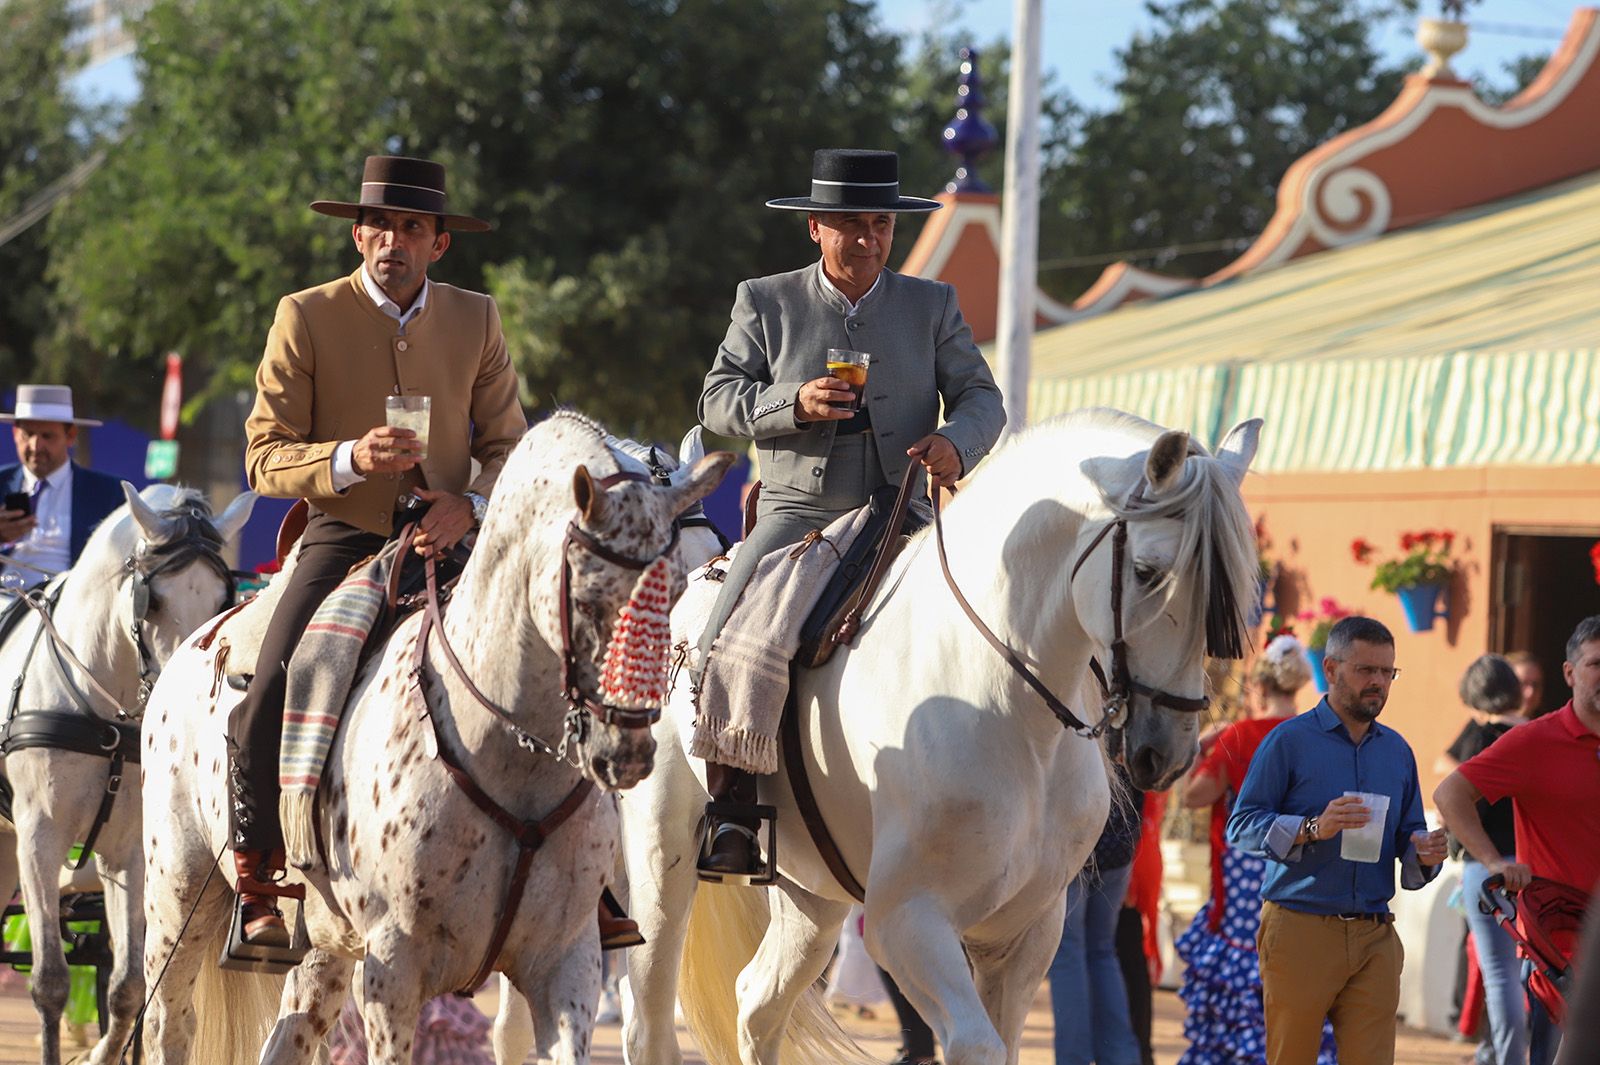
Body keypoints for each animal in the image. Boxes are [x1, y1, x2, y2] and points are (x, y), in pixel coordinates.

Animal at [0, 486, 252, 1061]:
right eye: (151, 601)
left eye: (222, 602)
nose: (183, 699)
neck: (106, 719)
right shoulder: (39, 837)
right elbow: (51, 982)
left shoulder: (128, 851)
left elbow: (127, 988)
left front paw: (99, 1052)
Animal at [139, 412, 732, 1061]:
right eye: (586, 593)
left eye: (679, 591)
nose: (628, 750)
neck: (509, 757)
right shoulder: (392, 971)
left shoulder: (565, 962)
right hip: (178, 899)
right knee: (169, 1022)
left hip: (321, 944)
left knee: (292, 1030)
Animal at [617, 407, 1254, 1061]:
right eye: (1149, 574)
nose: (1167, 748)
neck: (1010, 706)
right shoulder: (906, 921)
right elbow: (977, 1045)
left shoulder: (1024, 933)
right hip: (662, 852)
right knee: (649, 1016)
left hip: (810, 893)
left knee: (755, 1003)